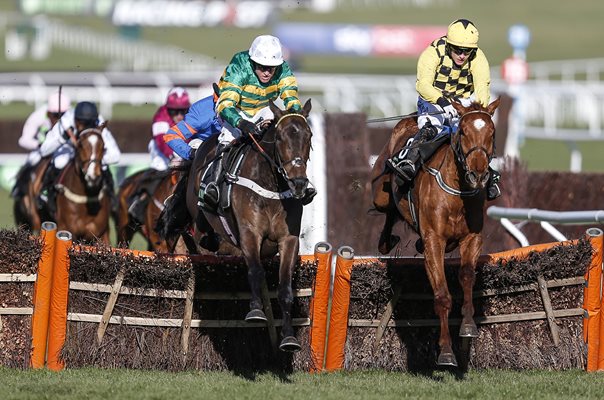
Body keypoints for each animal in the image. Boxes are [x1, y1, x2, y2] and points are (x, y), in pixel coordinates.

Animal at [158, 101, 314, 354]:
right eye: (280, 137)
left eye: (308, 136)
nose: (298, 183)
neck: (271, 186)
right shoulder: (249, 233)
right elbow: (256, 271)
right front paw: (256, 311)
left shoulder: (289, 240)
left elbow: (285, 288)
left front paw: (289, 338)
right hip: (199, 216)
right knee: (201, 236)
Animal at [372, 98, 500, 368]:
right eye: (463, 131)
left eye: (491, 133)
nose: (478, 174)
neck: (458, 192)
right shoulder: (434, 241)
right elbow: (442, 296)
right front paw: (446, 352)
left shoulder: (472, 238)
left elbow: (467, 275)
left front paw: (468, 325)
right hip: (381, 193)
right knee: (388, 212)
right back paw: (388, 240)